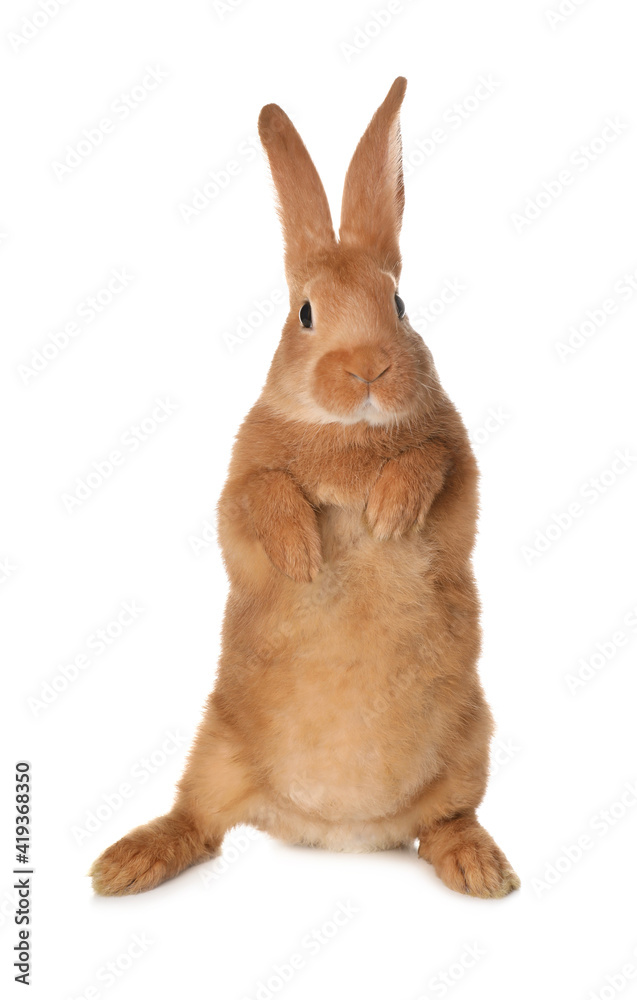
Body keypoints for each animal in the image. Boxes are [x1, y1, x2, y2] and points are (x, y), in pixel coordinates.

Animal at [90, 77, 520, 899]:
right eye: (306, 313)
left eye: (399, 304)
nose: (368, 370)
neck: (347, 430)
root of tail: (337, 831)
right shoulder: (238, 485)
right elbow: (260, 496)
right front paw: (302, 553)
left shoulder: (460, 470)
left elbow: (431, 462)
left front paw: (388, 512)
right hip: (216, 747)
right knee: (196, 820)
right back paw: (124, 865)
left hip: (471, 744)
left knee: (448, 820)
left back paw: (480, 869)